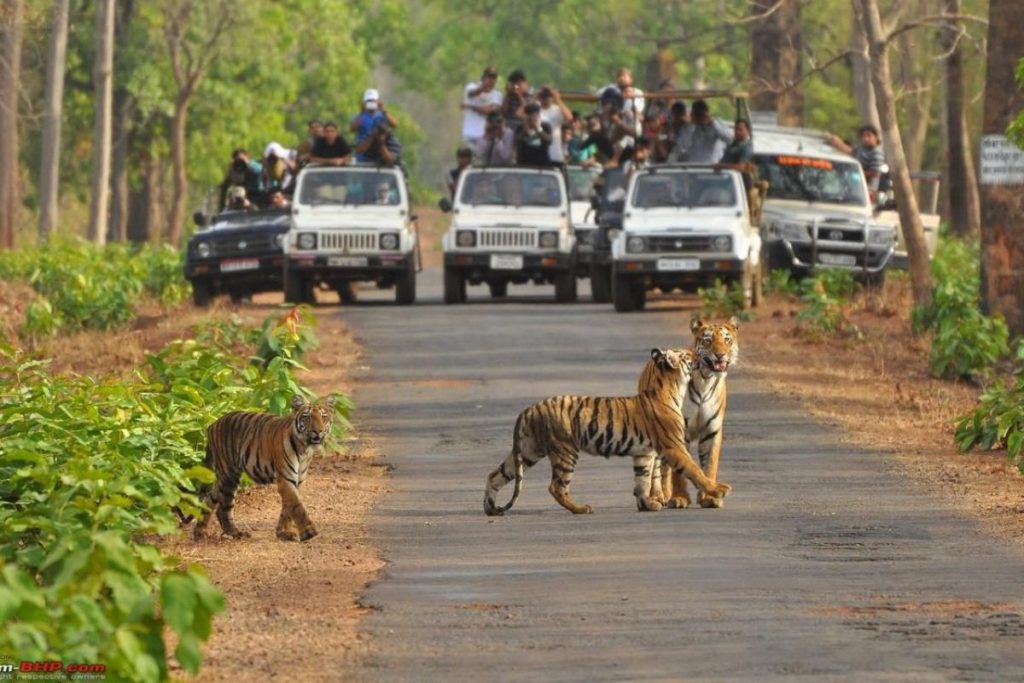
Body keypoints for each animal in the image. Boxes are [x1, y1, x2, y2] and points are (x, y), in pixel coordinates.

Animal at [191, 393, 335, 540]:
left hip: (225, 476)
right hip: (229, 475)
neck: (304, 449)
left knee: (210, 498)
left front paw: (284, 532)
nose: (317, 431)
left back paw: (200, 532)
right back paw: (234, 532)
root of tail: (212, 424)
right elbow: (296, 506)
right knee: (223, 507)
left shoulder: (298, 481)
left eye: (324, 417)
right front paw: (309, 532)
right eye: (307, 417)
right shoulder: (286, 479)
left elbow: (287, 508)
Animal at [483, 350, 733, 516]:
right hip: (565, 451)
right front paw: (718, 490)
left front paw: (647, 504)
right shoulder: (674, 447)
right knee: (556, 487)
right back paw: (581, 508)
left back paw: (490, 508)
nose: (699, 353)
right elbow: (694, 470)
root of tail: (529, 408)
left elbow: (642, 480)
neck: (671, 388)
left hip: (528, 451)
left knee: (495, 475)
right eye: (687, 354)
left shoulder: (644, 453)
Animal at [651, 317, 741, 509]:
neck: (706, 380)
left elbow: (709, 465)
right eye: (707, 340)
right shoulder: (679, 431)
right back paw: (659, 497)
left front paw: (709, 497)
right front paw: (679, 498)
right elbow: (679, 470)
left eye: (727, 340)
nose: (720, 355)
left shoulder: (712, 431)